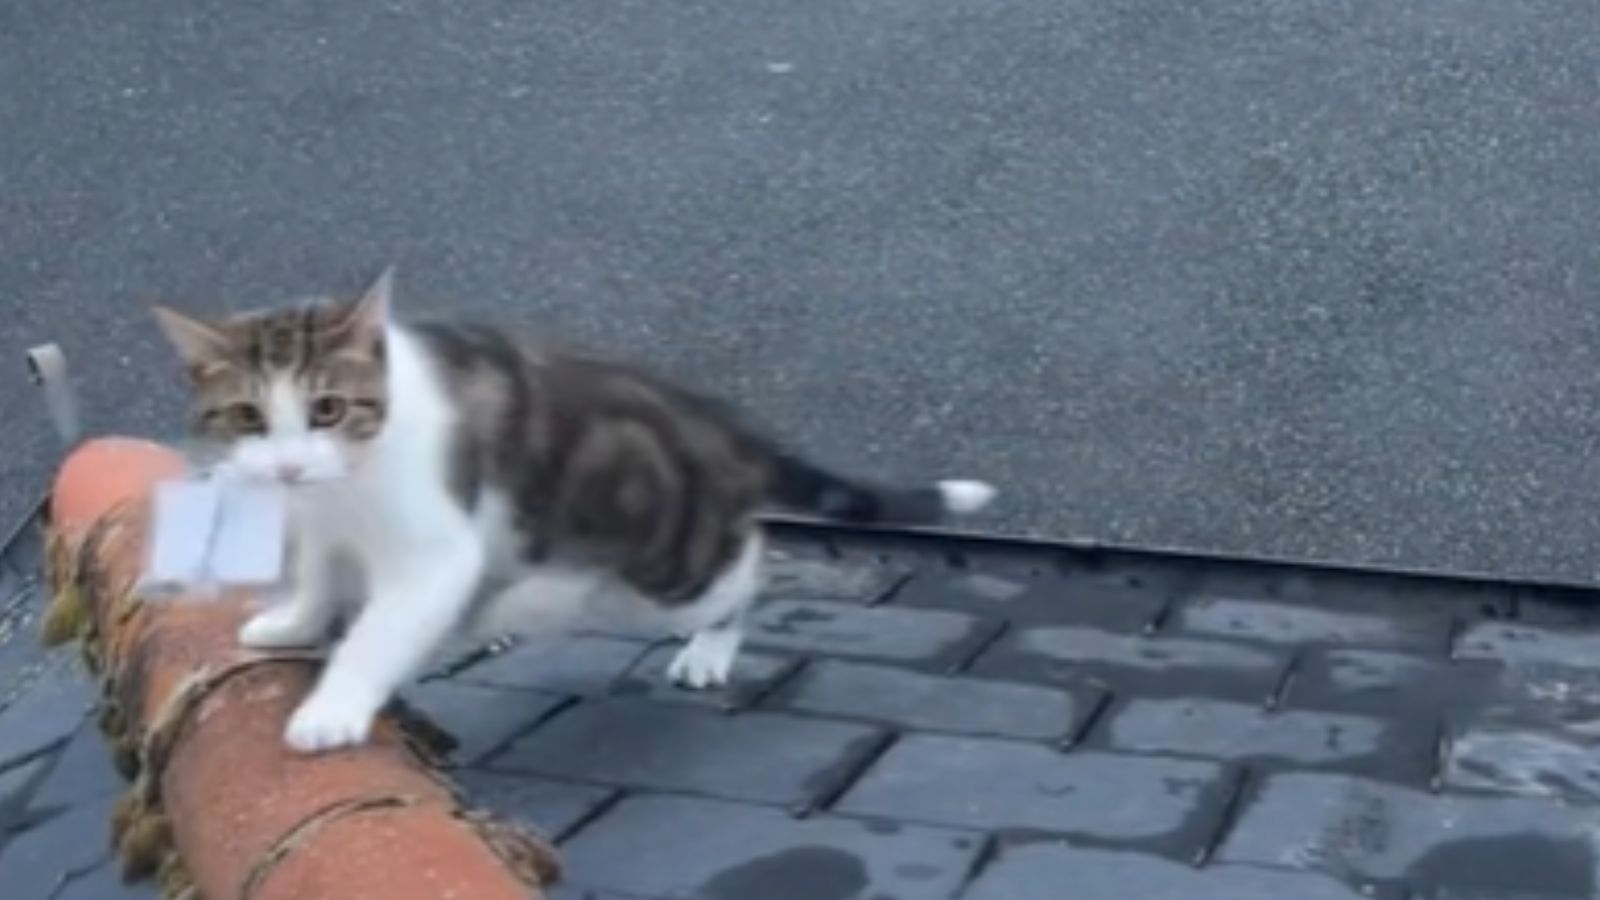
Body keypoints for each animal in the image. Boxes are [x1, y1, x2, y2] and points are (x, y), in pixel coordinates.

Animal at [152, 269, 998, 752]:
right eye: (248, 417)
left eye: (327, 408)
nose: (289, 466)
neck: (347, 484)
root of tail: (715, 423)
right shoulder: (325, 527)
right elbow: (320, 578)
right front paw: (290, 620)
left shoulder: (434, 550)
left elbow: (379, 631)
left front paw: (332, 709)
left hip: (671, 569)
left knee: (746, 564)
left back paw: (710, 646)